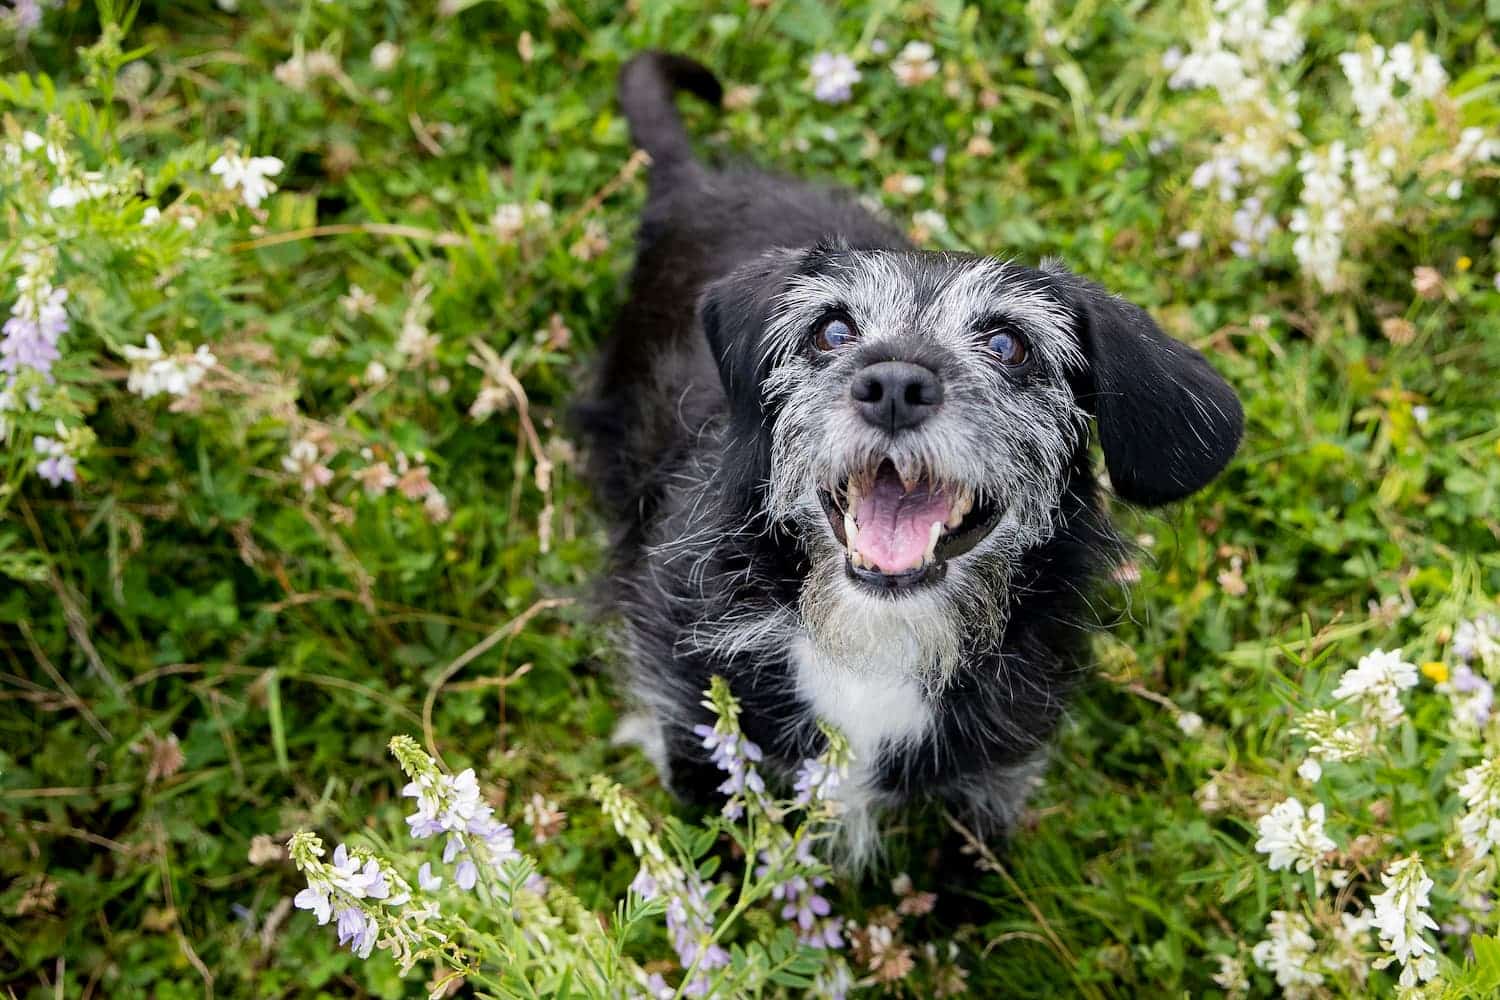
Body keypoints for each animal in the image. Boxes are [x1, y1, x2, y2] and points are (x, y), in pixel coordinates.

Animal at [579, 50, 1248, 863]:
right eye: (832, 331)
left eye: (1008, 343)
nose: (893, 386)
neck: (879, 642)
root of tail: (694, 181)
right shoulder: (696, 722)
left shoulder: (989, 784)